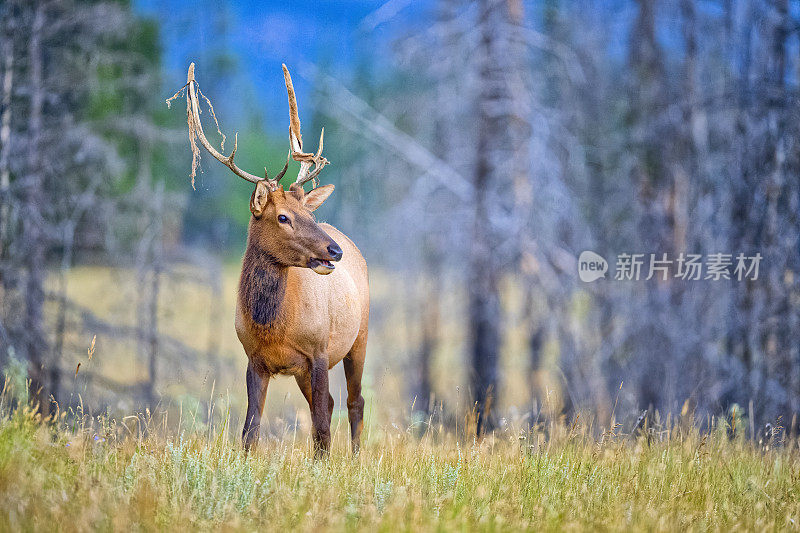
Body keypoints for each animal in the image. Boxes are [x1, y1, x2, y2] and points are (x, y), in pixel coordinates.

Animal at [170, 61, 370, 454]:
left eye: (308, 215)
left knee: (354, 402)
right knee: (333, 404)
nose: (333, 251)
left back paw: (356, 458)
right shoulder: (255, 360)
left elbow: (322, 428)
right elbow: (250, 431)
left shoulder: (319, 351)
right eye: (283, 217)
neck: (272, 325)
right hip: (307, 371)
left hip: (359, 339)